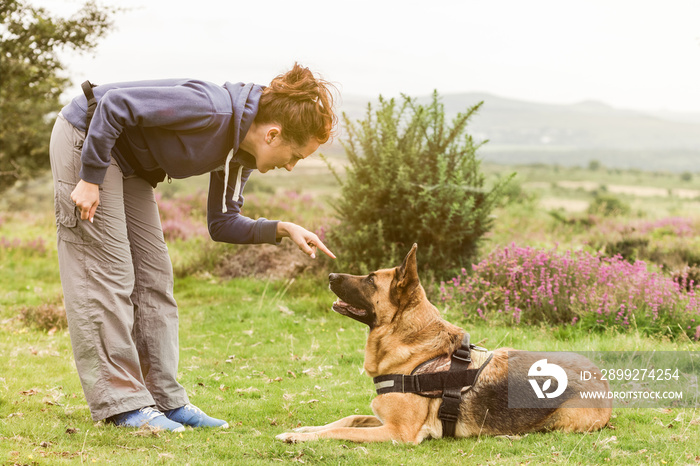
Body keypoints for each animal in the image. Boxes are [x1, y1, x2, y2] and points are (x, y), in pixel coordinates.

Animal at [276, 244, 608, 444]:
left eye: (370, 280)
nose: (331, 275)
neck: (410, 344)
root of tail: (602, 380)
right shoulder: (381, 420)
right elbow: (348, 419)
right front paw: (303, 429)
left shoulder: (398, 432)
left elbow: (342, 429)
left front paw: (299, 437)